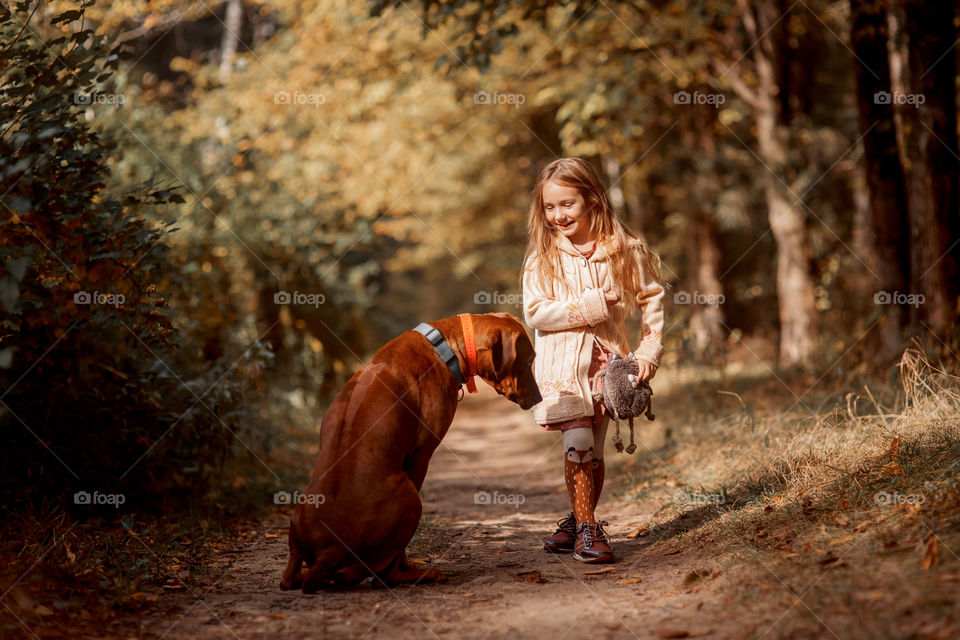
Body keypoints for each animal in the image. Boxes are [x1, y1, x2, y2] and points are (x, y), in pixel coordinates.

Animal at [282, 312, 544, 592]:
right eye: (529, 360)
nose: (539, 399)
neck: (444, 344)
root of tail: (327, 553)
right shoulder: (420, 456)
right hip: (409, 496)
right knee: (386, 575)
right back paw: (418, 574)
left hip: (296, 522)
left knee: (289, 579)